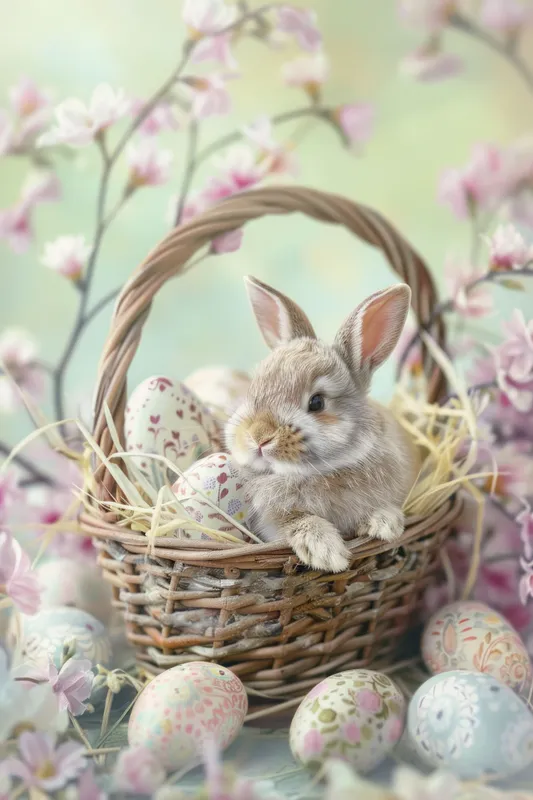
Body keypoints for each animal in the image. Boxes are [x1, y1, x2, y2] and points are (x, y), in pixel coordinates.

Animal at [225, 276, 421, 573]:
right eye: (253, 388)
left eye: (317, 402)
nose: (258, 436)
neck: (322, 472)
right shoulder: (272, 521)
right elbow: (298, 522)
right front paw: (327, 553)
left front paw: (385, 525)